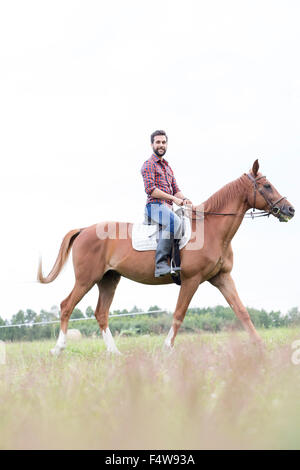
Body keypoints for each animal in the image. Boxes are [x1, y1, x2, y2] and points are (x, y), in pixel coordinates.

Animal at [38, 160, 296, 354]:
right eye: (267, 185)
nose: (290, 210)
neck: (211, 228)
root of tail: (84, 230)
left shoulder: (222, 278)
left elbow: (242, 311)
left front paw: (260, 345)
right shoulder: (192, 280)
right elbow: (179, 314)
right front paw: (167, 347)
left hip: (108, 279)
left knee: (101, 313)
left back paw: (114, 353)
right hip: (86, 279)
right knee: (66, 306)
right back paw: (58, 349)